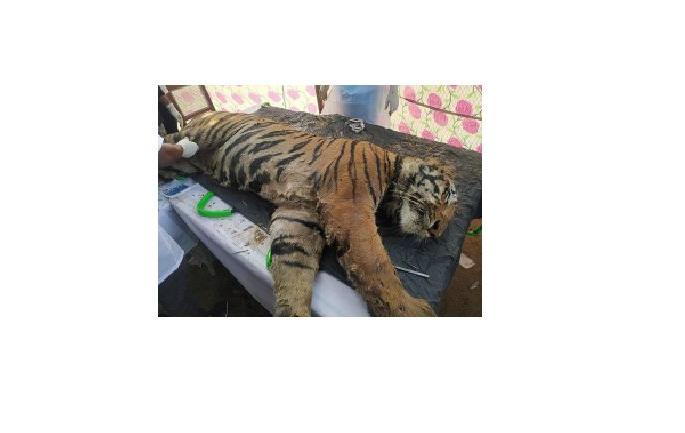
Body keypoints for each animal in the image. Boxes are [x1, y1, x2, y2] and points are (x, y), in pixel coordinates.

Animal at [164, 111, 459, 316]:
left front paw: (292, 312)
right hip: (202, 134)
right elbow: (378, 266)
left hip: (181, 167)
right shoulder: (351, 210)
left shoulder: (299, 216)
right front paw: (412, 310)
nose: (436, 231)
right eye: (447, 195)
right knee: (170, 142)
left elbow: (293, 270)